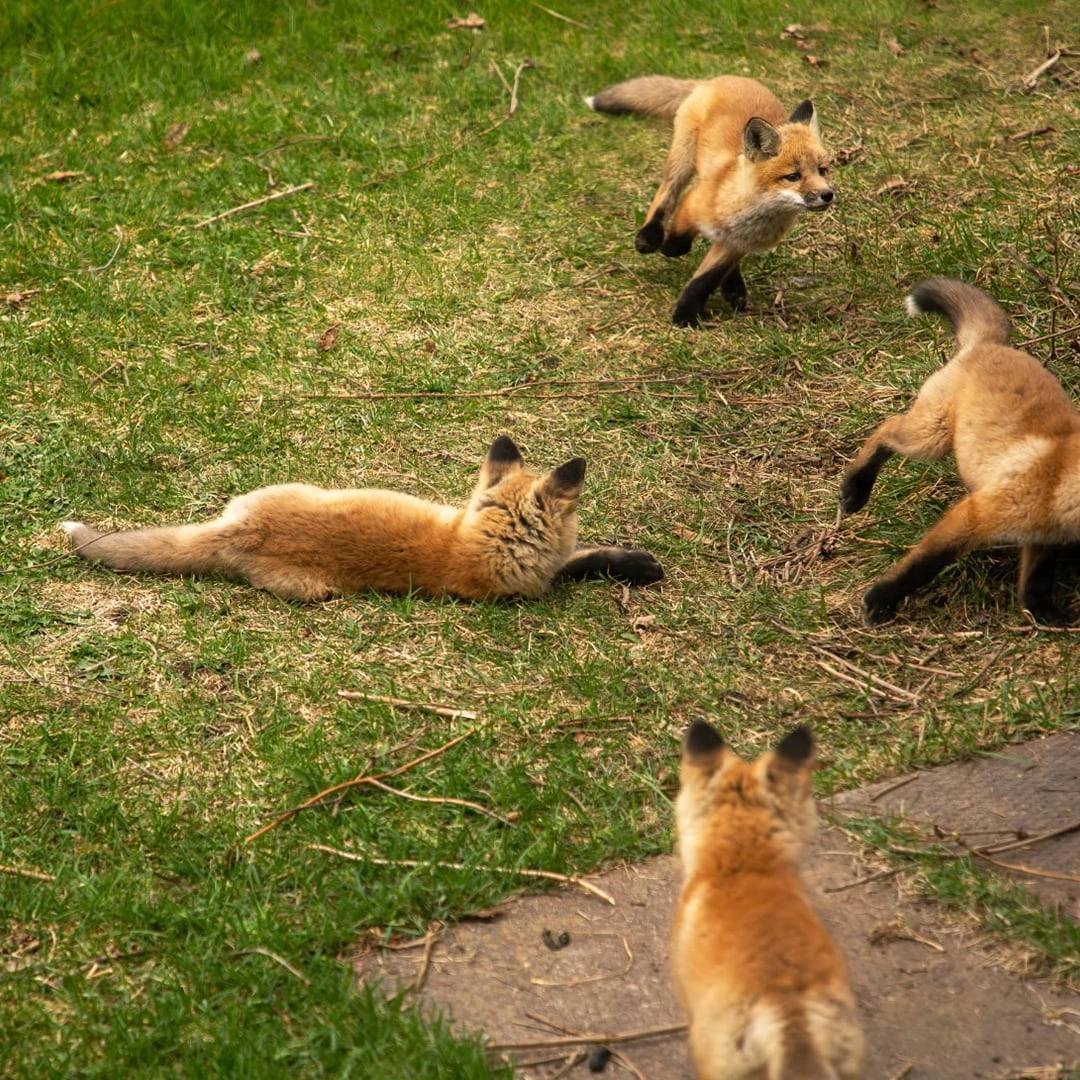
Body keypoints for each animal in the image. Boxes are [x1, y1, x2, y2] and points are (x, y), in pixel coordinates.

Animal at [61, 435, 664, 602]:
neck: (481, 539)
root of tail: (237, 530)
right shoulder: (535, 587)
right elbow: (580, 561)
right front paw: (636, 564)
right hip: (312, 591)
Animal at [586, 75, 833, 327]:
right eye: (793, 177)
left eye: (822, 170)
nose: (827, 194)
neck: (753, 216)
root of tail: (718, 79)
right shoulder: (692, 203)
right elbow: (678, 244)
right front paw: (684, 309)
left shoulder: (738, 244)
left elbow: (706, 279)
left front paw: (687, 312)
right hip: (682, 160)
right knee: (665, 194)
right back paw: (649, 236)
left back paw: (734, 288)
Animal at [840, 277, 1080, 627]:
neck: (1061, 478)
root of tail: (991, 344)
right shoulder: (975, 515)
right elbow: (923, 565)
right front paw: (879, 599)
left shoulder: (1044, 533)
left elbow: (1035, 583)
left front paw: (1046, 616)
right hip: (929, 438)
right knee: (886, 428)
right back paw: (854, 490)